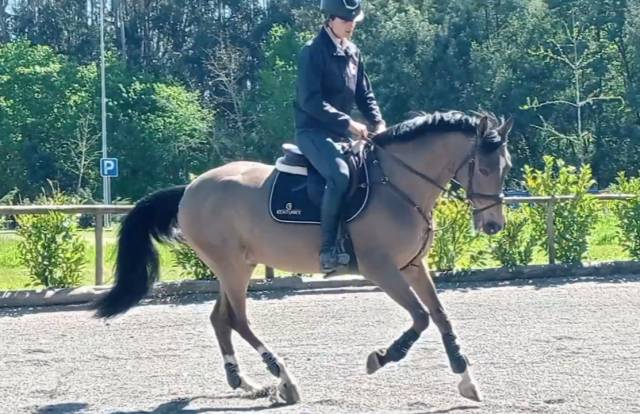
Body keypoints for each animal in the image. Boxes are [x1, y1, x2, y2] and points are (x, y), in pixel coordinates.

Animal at [93, 110, 513, 404]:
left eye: (505, 167)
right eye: (483, 167)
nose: (493, 225)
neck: (398, 184)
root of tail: (191, 188)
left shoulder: (412, 265)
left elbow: (440, 316)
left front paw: (466, 379)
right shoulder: (381, 268)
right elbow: (421, 318)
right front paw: (380, 357)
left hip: (236, 266)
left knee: (220, 319)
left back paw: (245, 382)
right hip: (231, 267)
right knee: (239, 320)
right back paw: (284, 380)